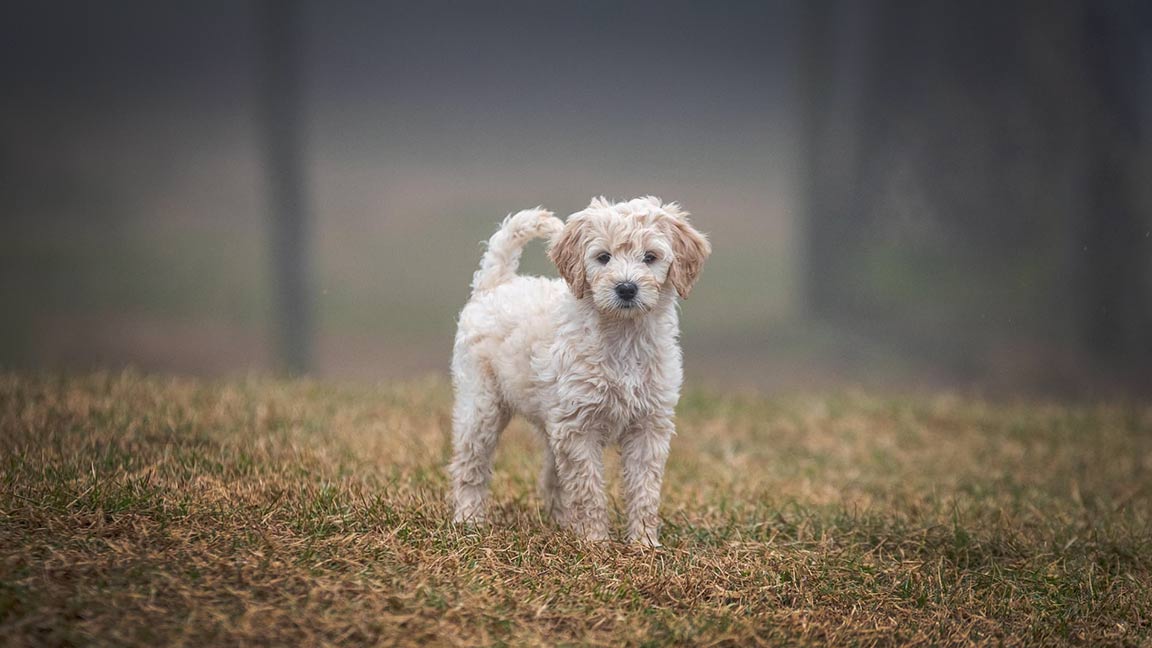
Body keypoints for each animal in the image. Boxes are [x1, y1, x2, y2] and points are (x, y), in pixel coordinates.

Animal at [444, 193, 705, 541]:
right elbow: (588, 488)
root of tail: (496, 283)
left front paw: (644, 541)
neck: (622, 336)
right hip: (480, 403)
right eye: (603, 257)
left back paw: (562, 523)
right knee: (470, 464)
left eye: (650, 257)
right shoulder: (578, 427)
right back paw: (469, 519)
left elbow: (644, 488)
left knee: (551, 475)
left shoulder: (649, 424)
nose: (626, 288)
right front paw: (595, 540)